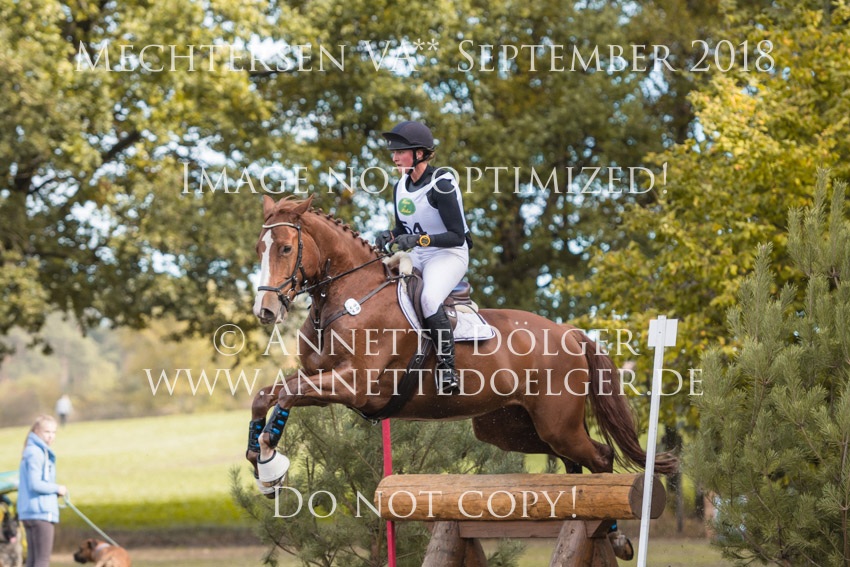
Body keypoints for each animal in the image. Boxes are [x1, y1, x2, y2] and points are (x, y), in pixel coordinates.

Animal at [246, 195, 677, 492]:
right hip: (510, 427)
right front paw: (257, 456)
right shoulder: (323, 382)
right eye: (259, 249)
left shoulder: (355, 385)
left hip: (558, 425)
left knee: (600, 457)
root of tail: (571, 333)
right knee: (571, 462)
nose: (265, 310)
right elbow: (268, 394)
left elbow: (286, 395)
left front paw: (269, 460)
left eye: (286, 248)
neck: (349, 297)